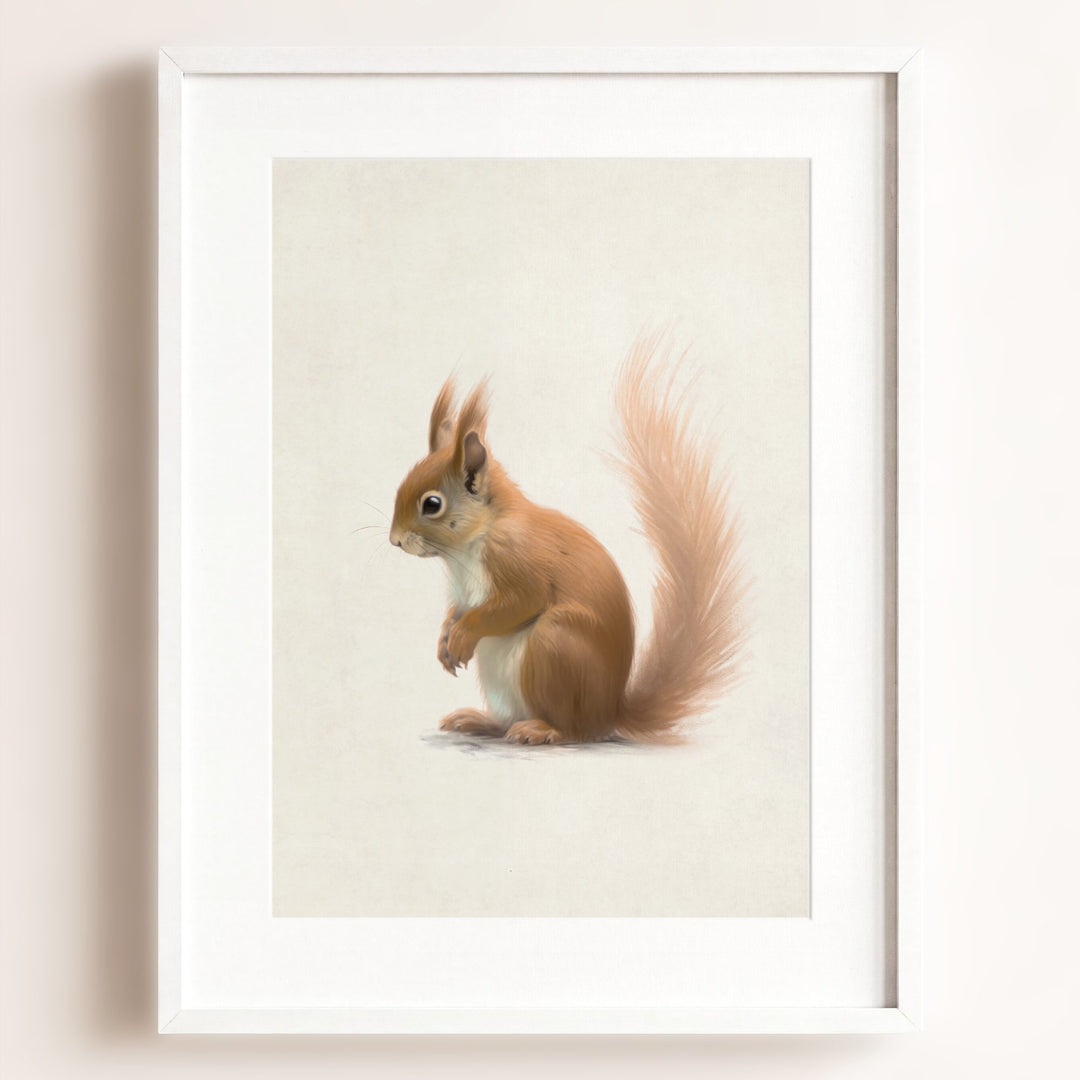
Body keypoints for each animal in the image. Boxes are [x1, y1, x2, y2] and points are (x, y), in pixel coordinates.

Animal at [388, 334, 747, 745]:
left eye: (432, 504)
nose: (394, 540)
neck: (474, 541)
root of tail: (609, 713)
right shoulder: (464, 593)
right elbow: (456, 610)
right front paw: (445, 638)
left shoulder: (519, 560)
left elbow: (518, 602)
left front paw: (463, 634)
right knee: (507, 721)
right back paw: (479, 720)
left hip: (555, 643)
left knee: (572, 730)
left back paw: (542, 730)